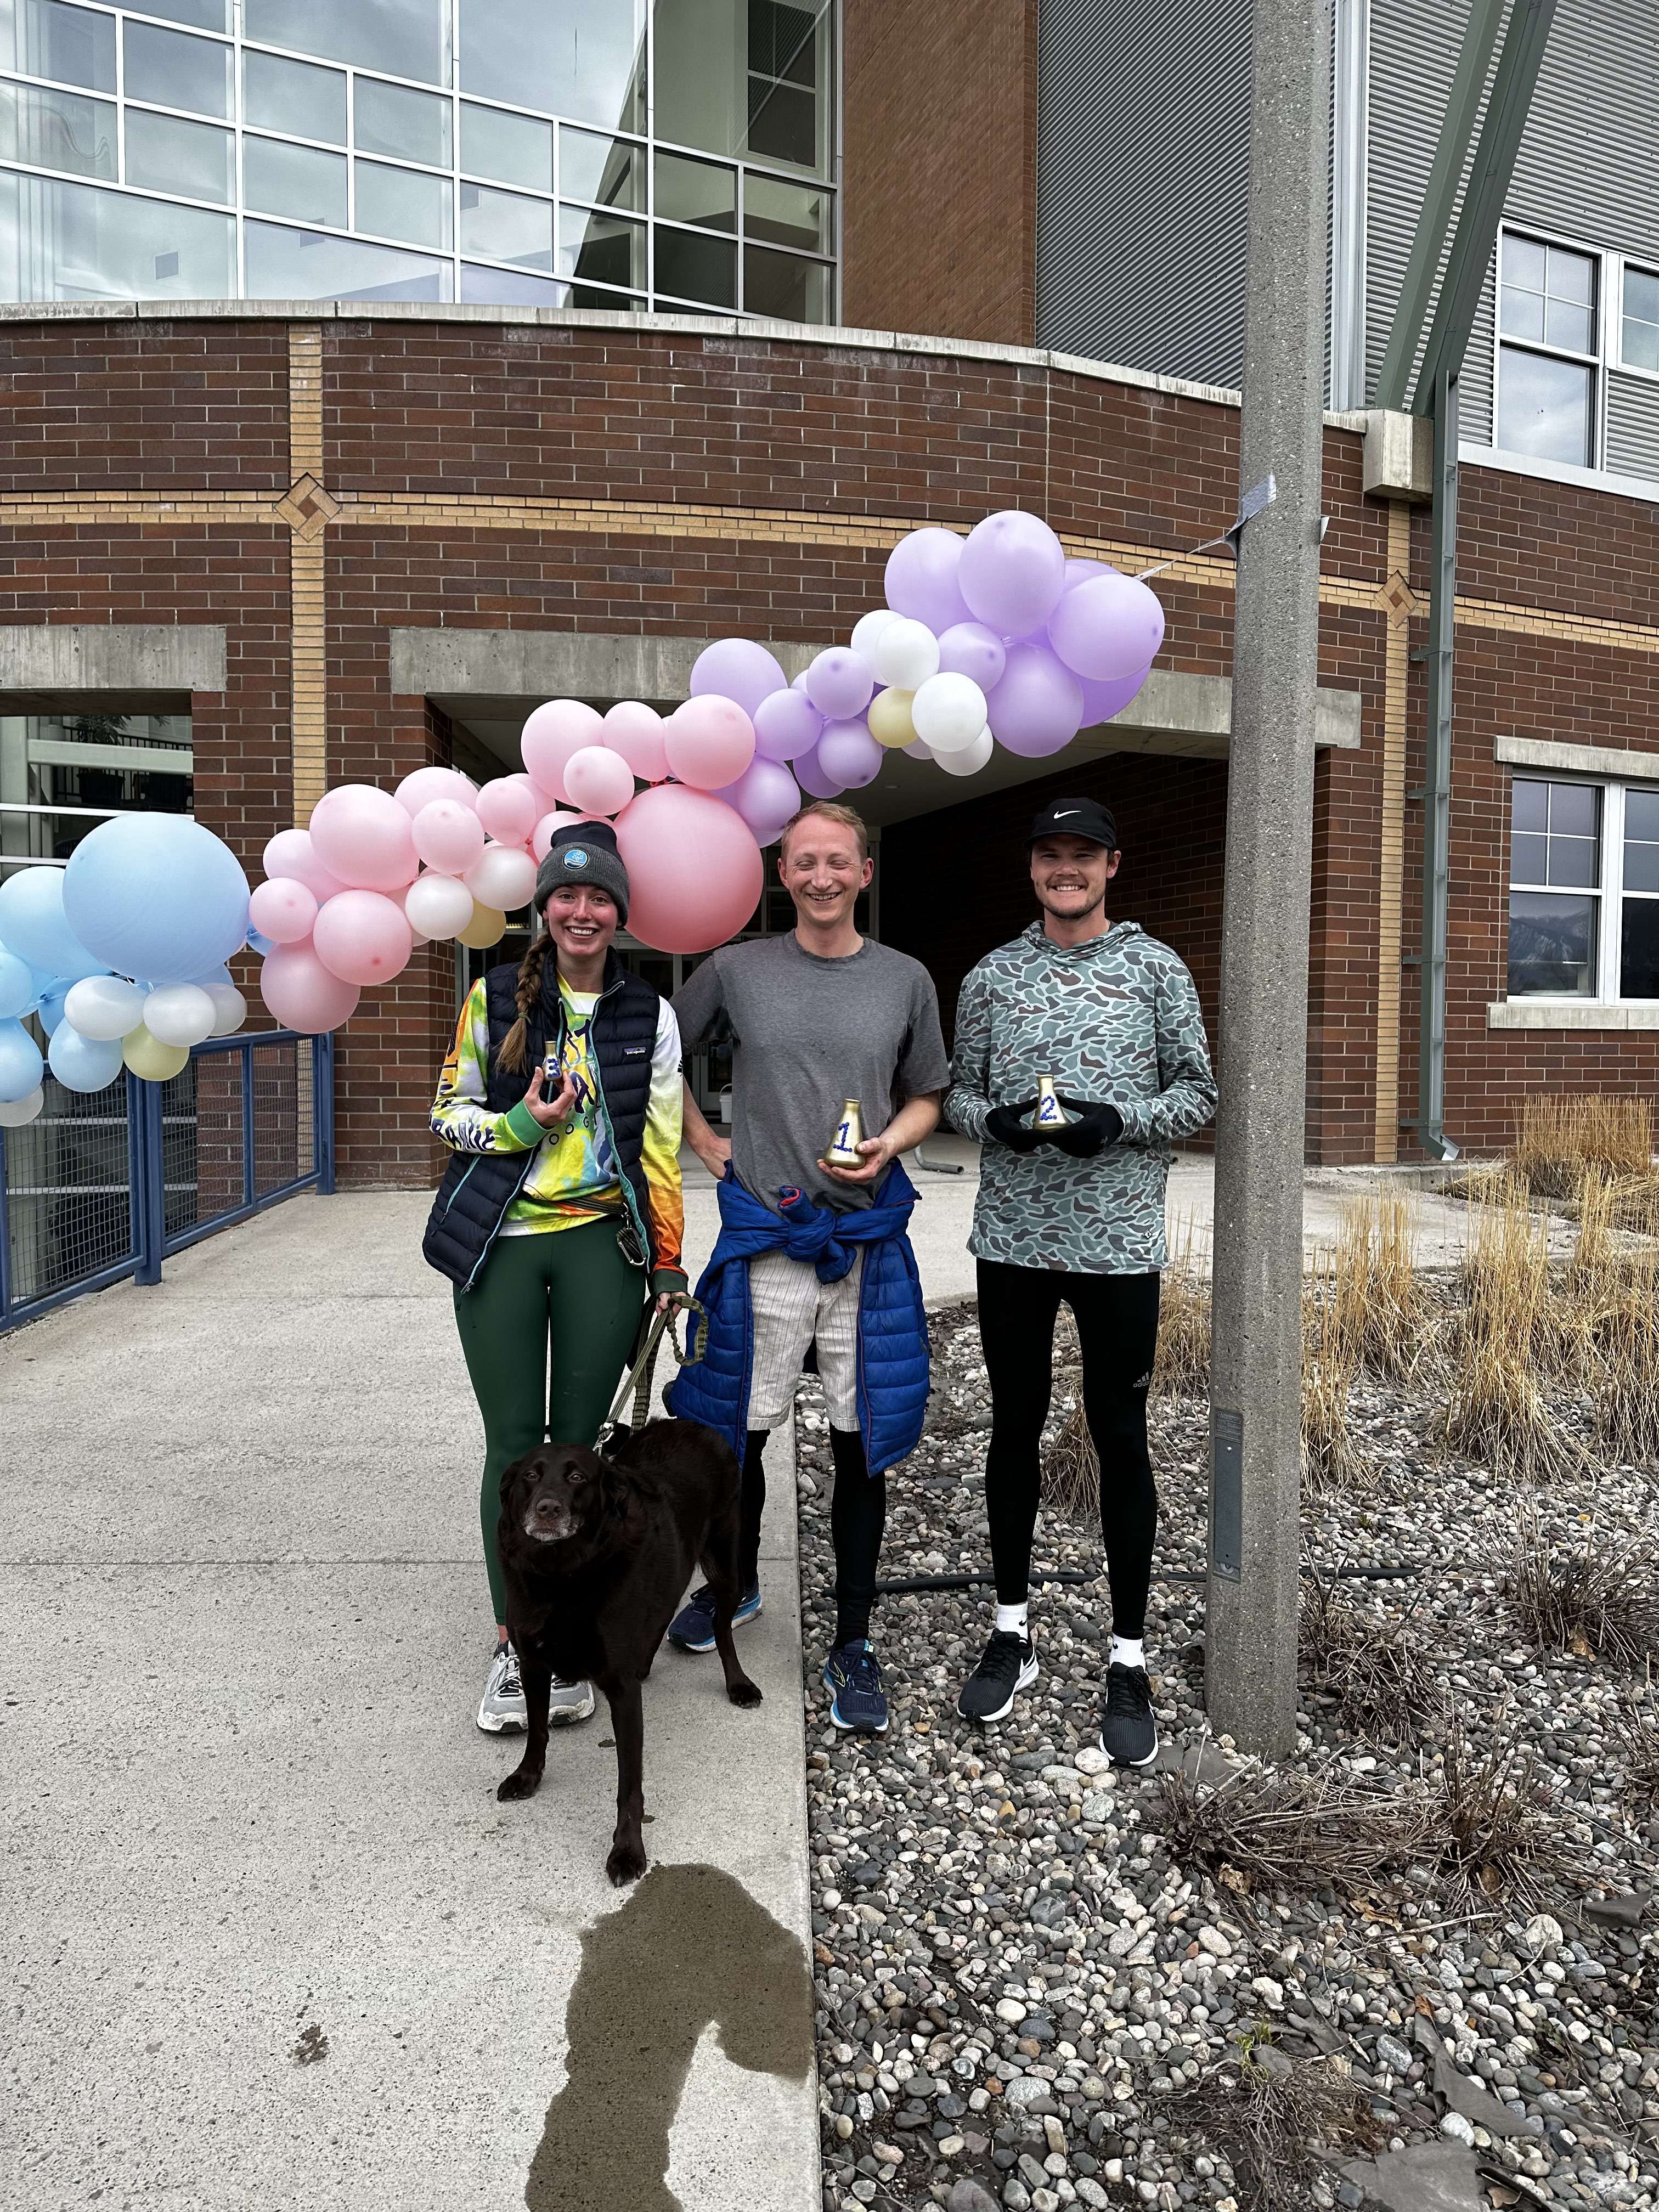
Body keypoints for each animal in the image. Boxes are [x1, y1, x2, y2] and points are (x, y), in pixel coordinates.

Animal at [498, 1415, 765, 1884]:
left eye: (577, 1478)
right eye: (531, 1475)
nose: (547, 1508)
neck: (562, 1574)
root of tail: (693, 1424)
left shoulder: (622, 1692)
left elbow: (629, 1785)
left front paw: (627, 1851)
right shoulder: (532, 1663)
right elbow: (538, 1729)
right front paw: (528, 1775)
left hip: (726, 1564)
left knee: (722, 1627)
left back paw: (738, 1684)